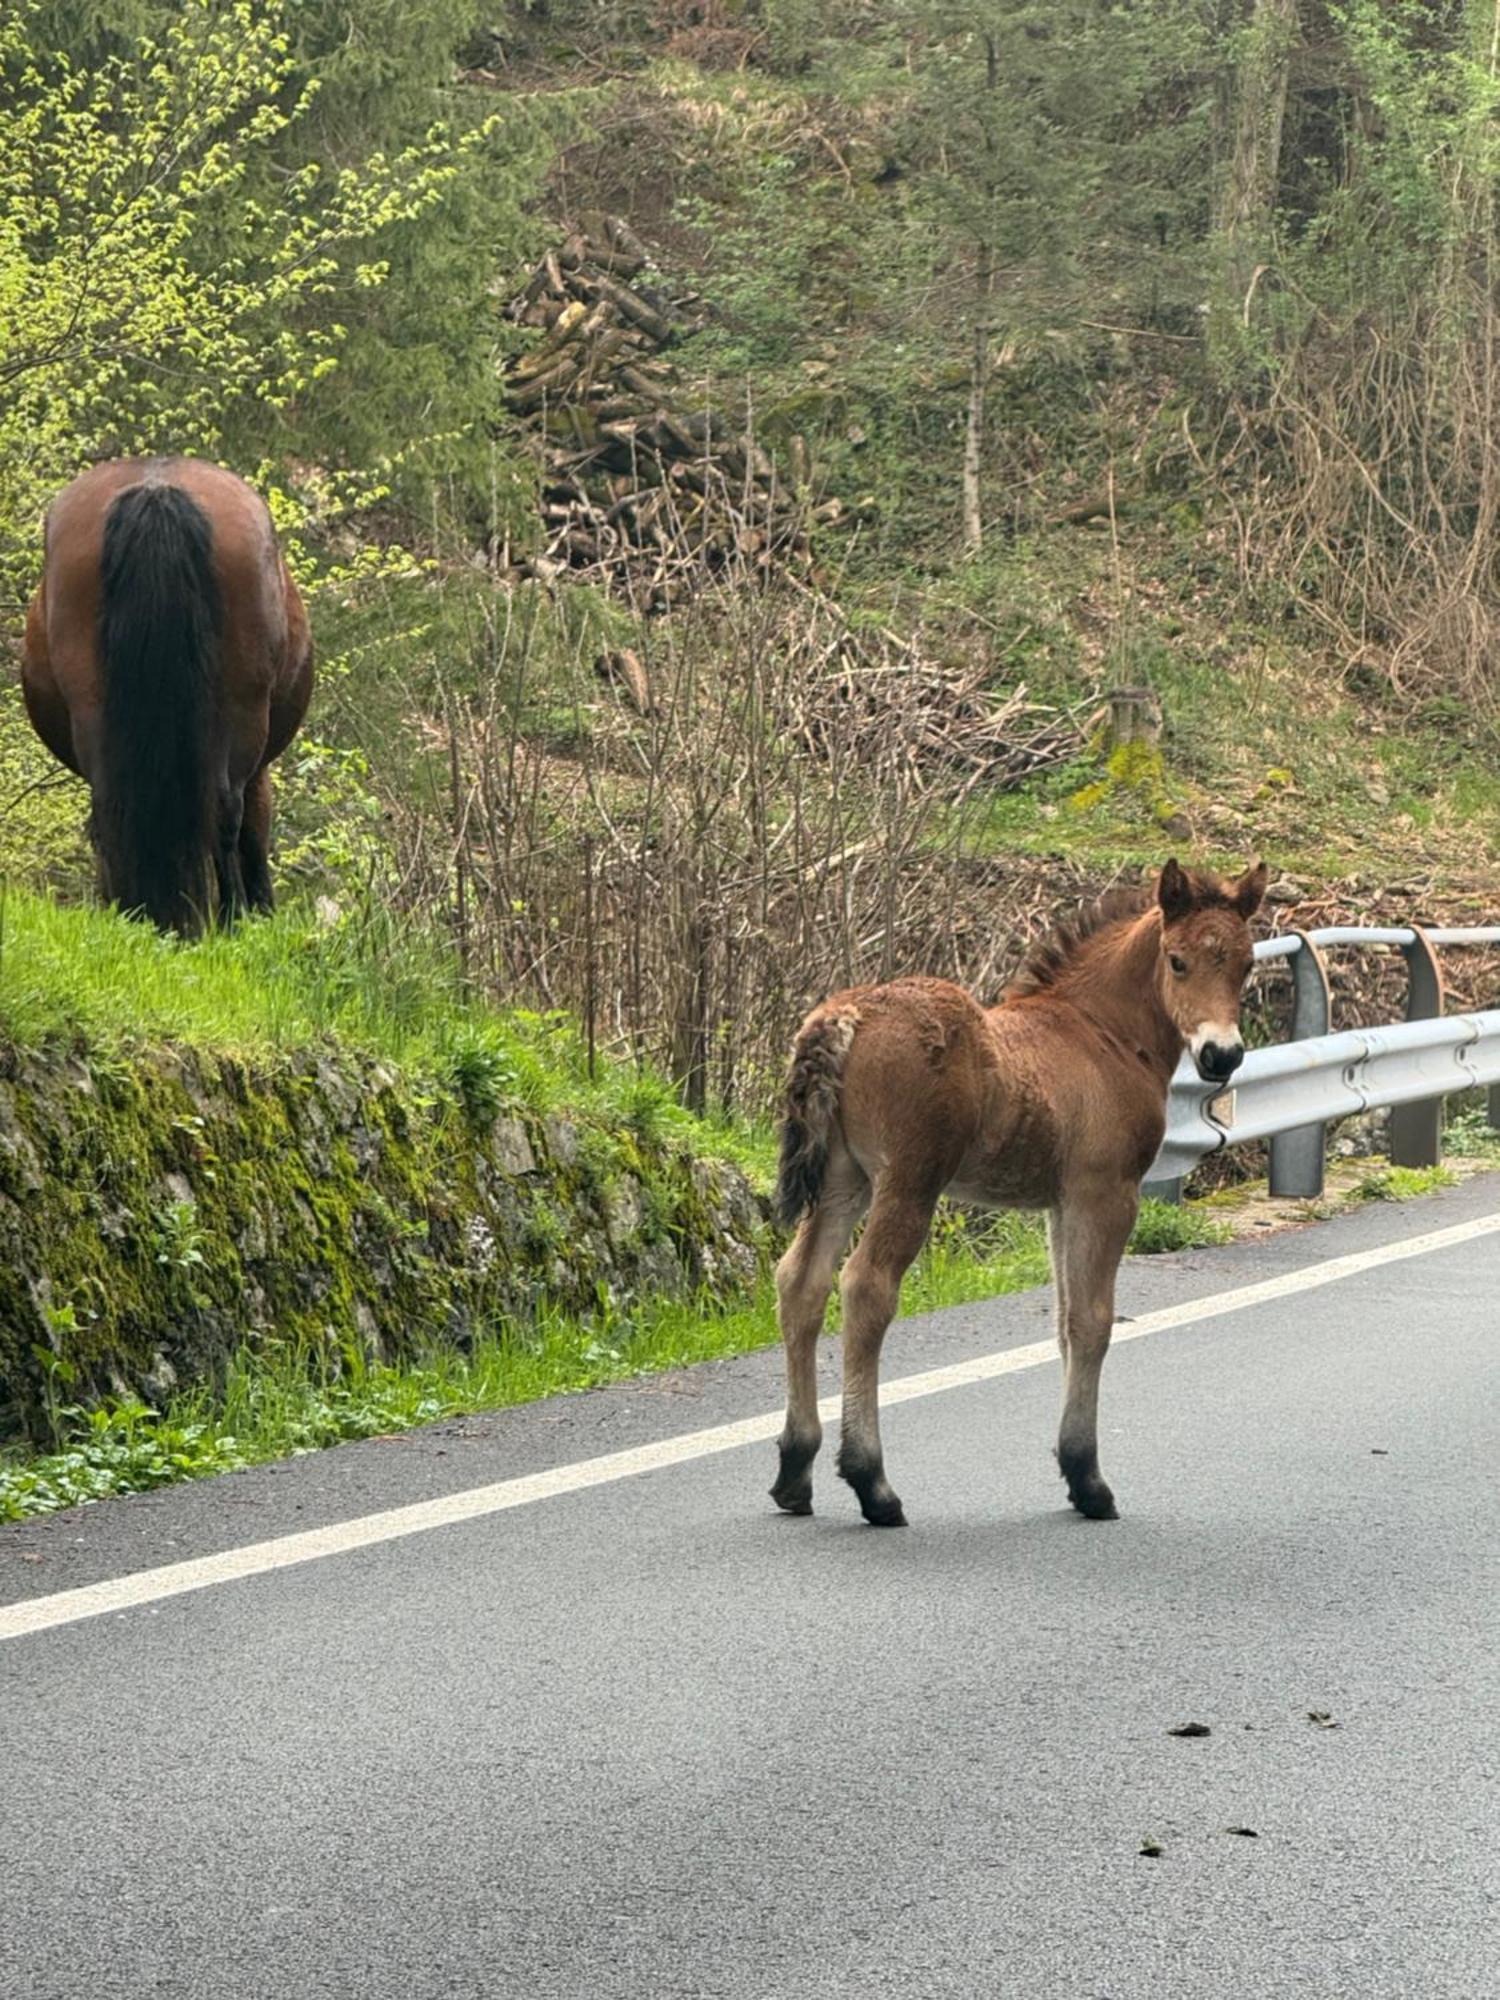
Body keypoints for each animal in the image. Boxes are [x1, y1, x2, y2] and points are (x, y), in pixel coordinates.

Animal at [21, 458, 314, 932]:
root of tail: (155, 491)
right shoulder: (257, 764)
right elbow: (255, 830)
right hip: (244, 713)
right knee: (225, 813)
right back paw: (231, 919)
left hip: (91, 706)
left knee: (108, 811)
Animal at [776, 852, 1272, 1520]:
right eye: (1178, 960)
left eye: (1246, 963)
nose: (1223, 1056)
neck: (1102, 1033)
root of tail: (844, 1018)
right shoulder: (1105, 1192)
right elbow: (1092, 1321)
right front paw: (1088, 1478)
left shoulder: (1060, 1205)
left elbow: (1063, 1321)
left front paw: (1074, 1469)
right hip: (909, 1179)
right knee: (866, 1286)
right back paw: (871, 1481)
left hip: (841, 1180)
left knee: (800, 1281)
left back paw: (794, 1470)